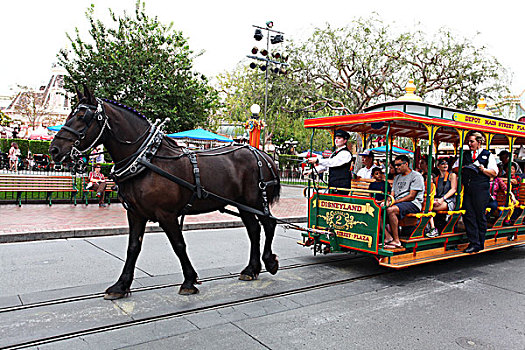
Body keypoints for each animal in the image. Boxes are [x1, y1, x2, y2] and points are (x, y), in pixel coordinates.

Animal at [48, 87, 282, 298]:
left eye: (81, 116)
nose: (54, 150)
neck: (146, 159)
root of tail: (263, 155)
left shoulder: (166, 214)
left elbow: (179, 245)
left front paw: (189, 281)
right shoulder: (135, 213)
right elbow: (133, 247)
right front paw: (121, 286)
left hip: (254, 201)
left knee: (268, 224)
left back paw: (269, 261)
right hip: (244, 204)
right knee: (254, 230)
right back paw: (251, 269)